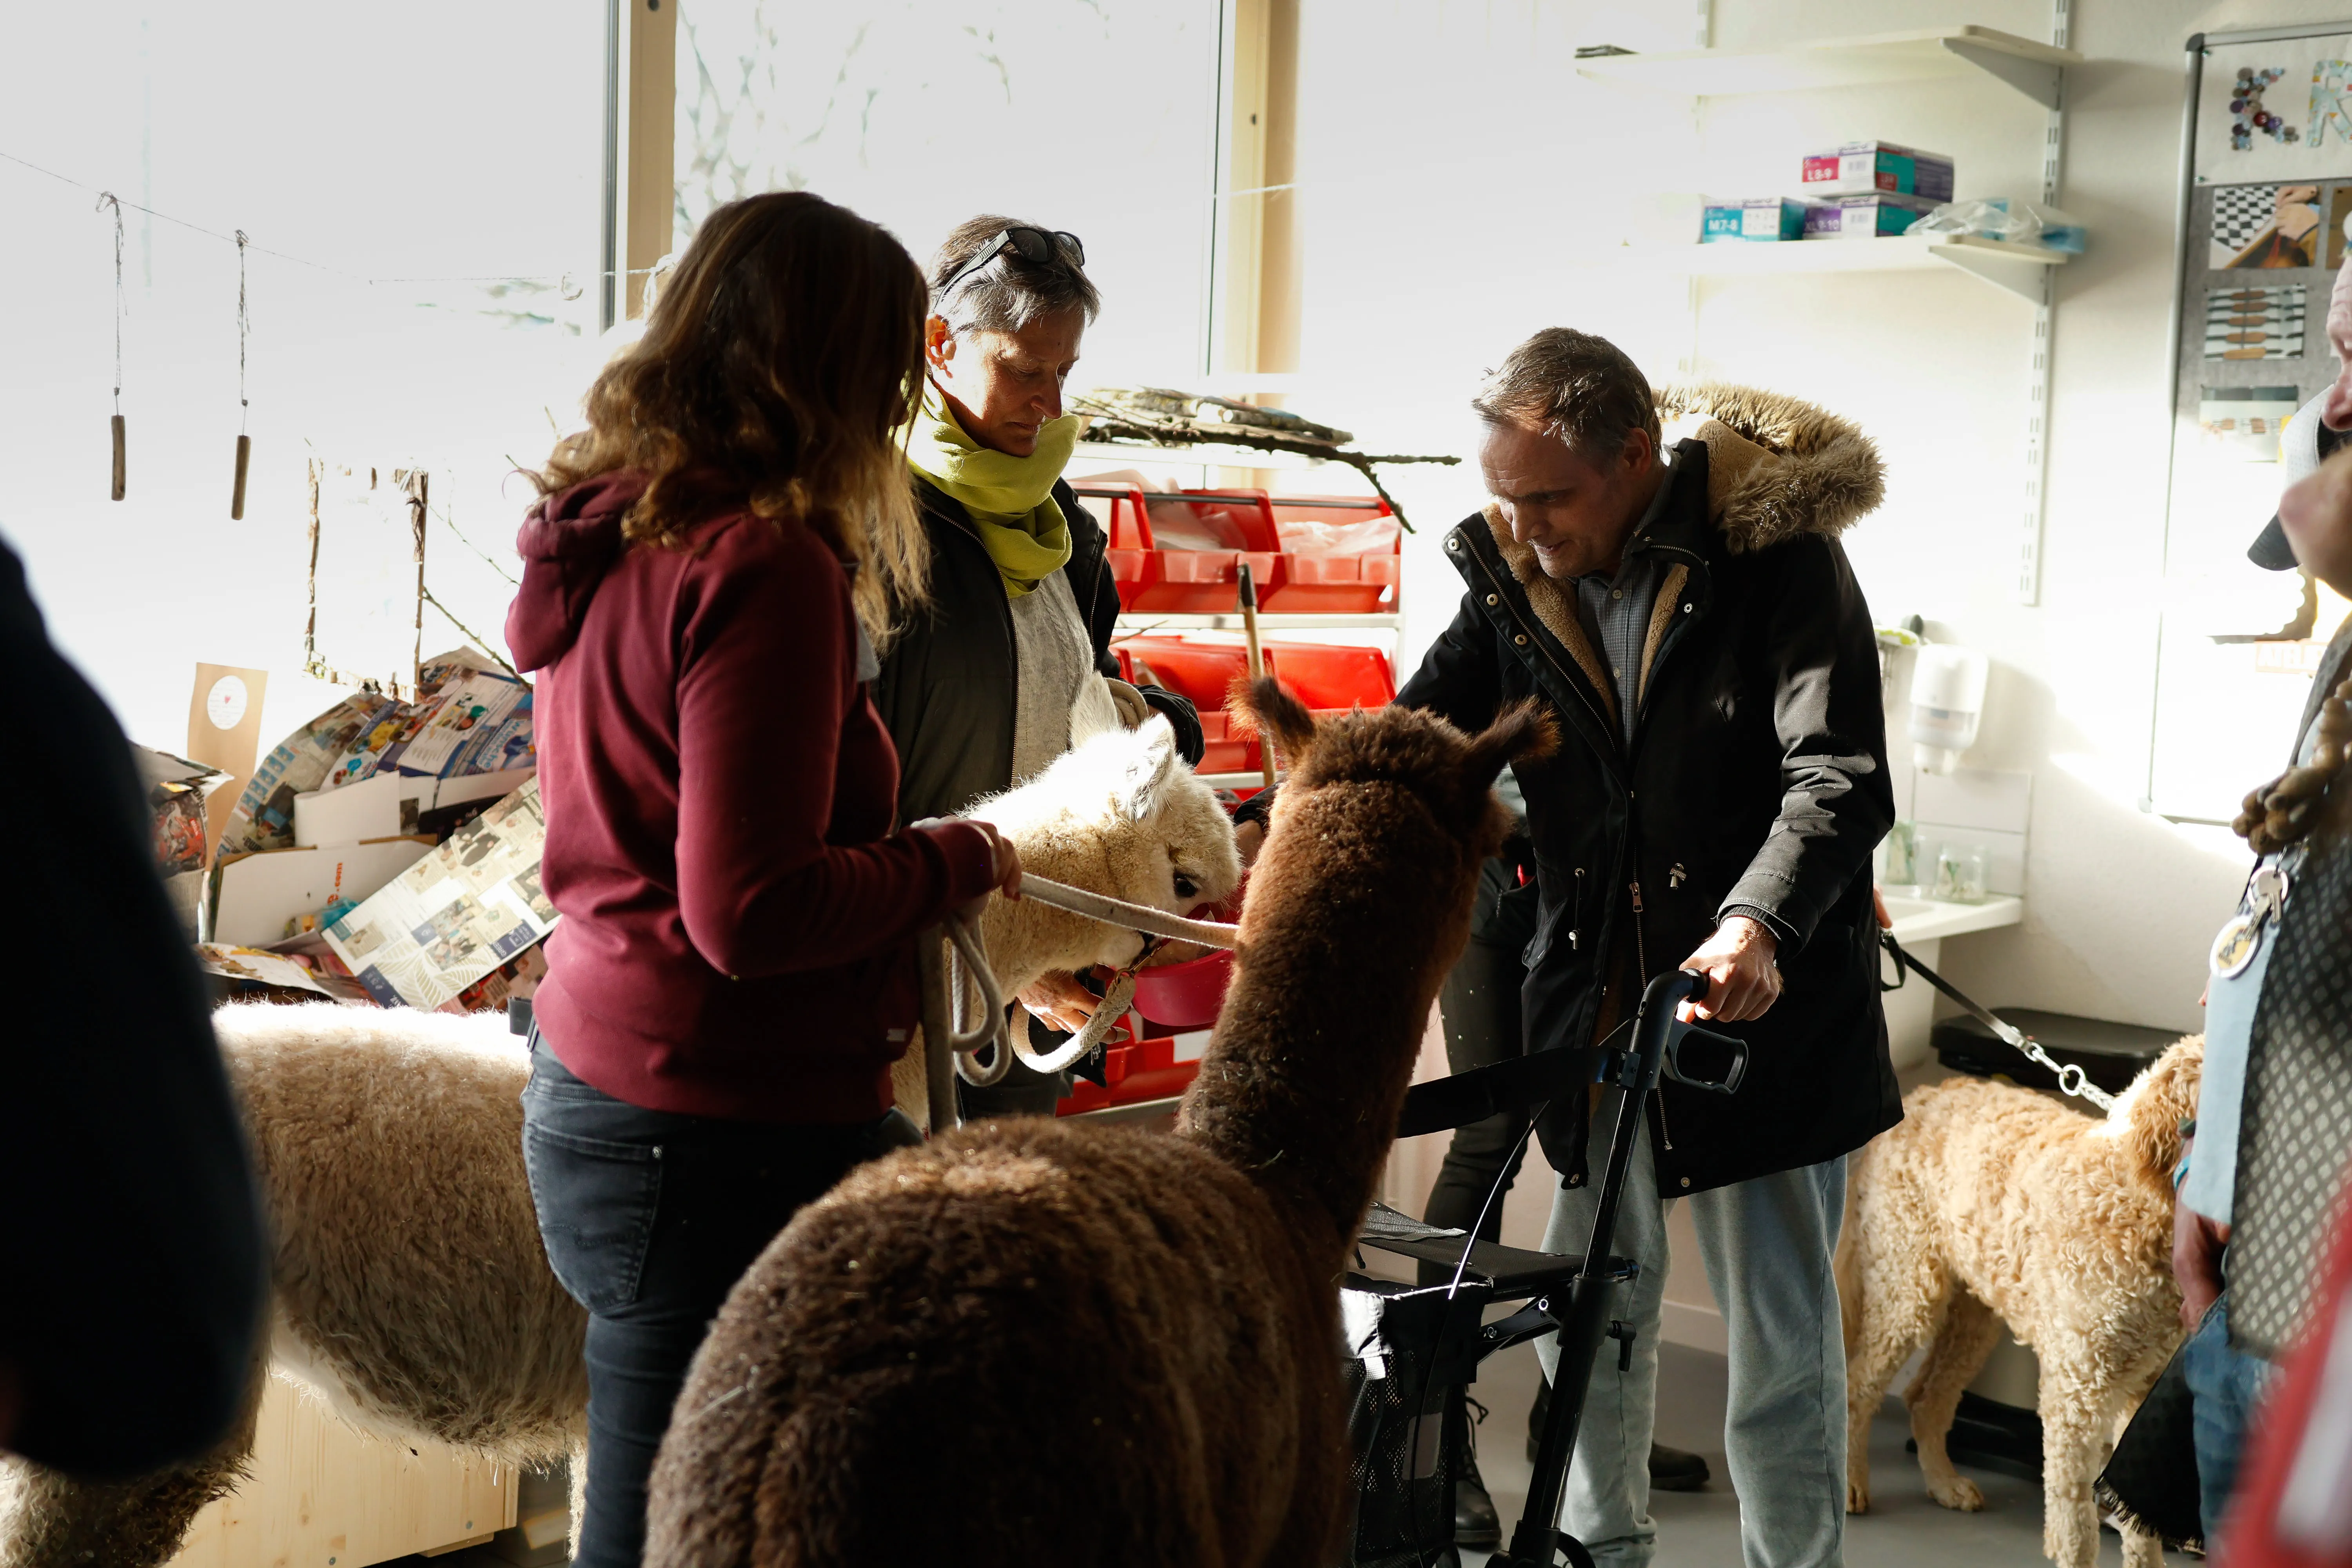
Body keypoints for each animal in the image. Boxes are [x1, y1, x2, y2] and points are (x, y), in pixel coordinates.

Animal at [1835, 1029, 2201, 1568]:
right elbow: (2076, 1526)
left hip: (1975, 1313)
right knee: (1858, 1385)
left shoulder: (2143, 1387)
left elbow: (2141, 1527)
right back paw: (1851, 1484)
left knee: (1926, 1396)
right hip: (1909, 1290)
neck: (2138, 1198)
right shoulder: (2076, 1392)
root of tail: (1921, 1096)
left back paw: (1944, 1484)